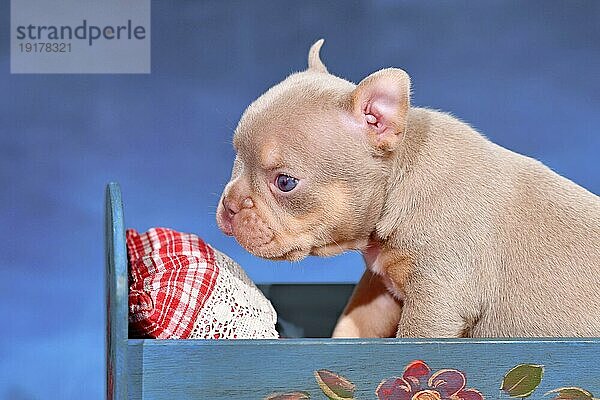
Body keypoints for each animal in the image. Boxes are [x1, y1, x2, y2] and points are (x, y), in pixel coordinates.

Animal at [216, 39, 600, 338]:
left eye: (285, 183)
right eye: (236, 156)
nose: (230, 206)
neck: (400, 181)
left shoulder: (436, 300)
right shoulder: (378, 288)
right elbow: (351, 323)